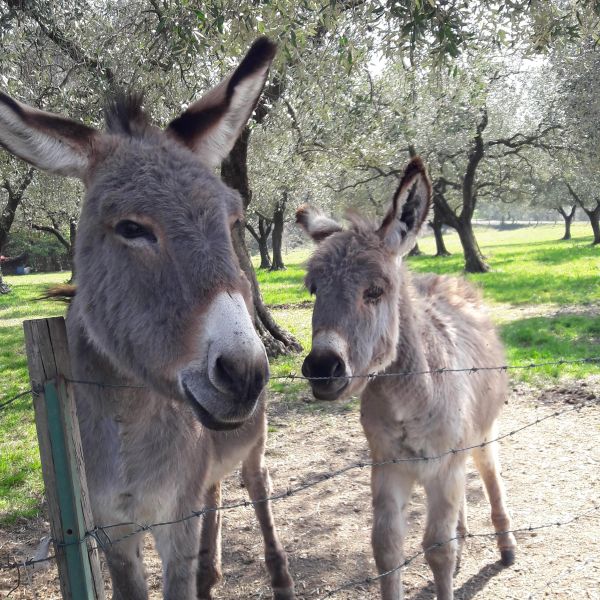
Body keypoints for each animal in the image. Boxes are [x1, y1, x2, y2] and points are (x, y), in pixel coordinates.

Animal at [298, 159, 512, 600]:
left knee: (490, 476)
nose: (323, 367)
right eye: (313, 289)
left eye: (375, 291)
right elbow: (386, 549)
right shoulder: (387, 466)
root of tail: (448, 280)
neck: (408, 400)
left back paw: (507, 548)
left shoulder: (444, 467)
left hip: (483, 434)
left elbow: (438, 549)